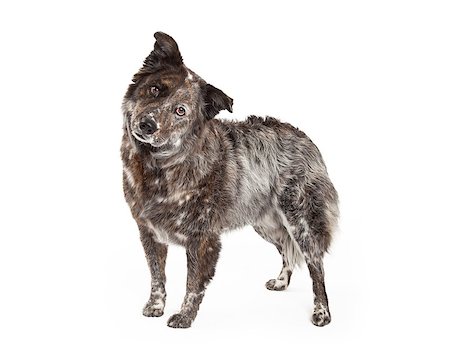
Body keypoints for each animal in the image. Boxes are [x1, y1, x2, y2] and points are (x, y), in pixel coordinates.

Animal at [121, 32, 340, 328]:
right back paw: (281, 282)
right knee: (286, 250)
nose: (147, 125)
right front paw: (156, 306)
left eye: (180, 111)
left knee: (316, 265)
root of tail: (305, 138)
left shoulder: (202, 238)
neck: (160, 167)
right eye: (155, 89)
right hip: (266, 223)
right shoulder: (150, 233)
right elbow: (158, 276)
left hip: (301, 221)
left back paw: (322, 311)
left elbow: (193, 284)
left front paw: (185, 317)